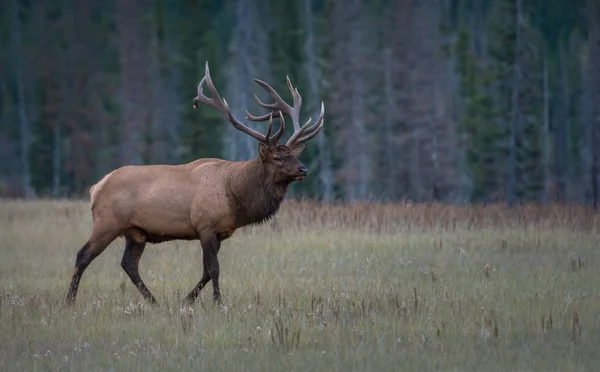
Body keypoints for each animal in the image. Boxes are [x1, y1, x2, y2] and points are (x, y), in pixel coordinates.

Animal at [65, 61, 324, 306]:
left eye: (293, 154)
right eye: (278, 157)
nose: (303, 169)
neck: (235, 196)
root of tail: (96, 187)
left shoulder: (220, 233)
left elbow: (206, 272)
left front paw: (186, 300)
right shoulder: (205, 226)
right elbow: (214, 269)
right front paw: (217, 302)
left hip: (135, 232)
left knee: (128, 264)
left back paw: (154, 302)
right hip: (107, 223)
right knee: (82, 255)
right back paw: (70, 301)